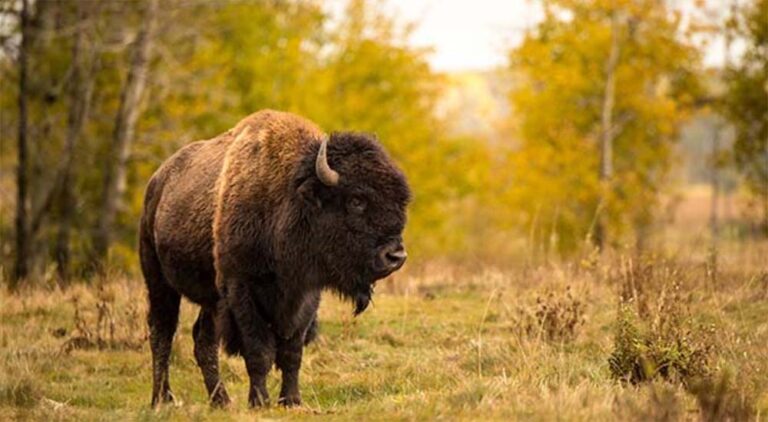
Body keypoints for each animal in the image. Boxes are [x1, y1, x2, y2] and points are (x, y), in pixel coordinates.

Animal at [140, 110, 412, 408]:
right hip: (158, 280)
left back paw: (221, 401)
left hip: (211, 299)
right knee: (162, 332)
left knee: (203, 340)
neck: (288, 200)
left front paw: (292, 400)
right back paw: (162, 399)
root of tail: (157, 181)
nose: (395, 256)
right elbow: (258, 351)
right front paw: (259, 401)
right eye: (356, 200)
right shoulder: (241, 289)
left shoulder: (305, 296)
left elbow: (291, 353)